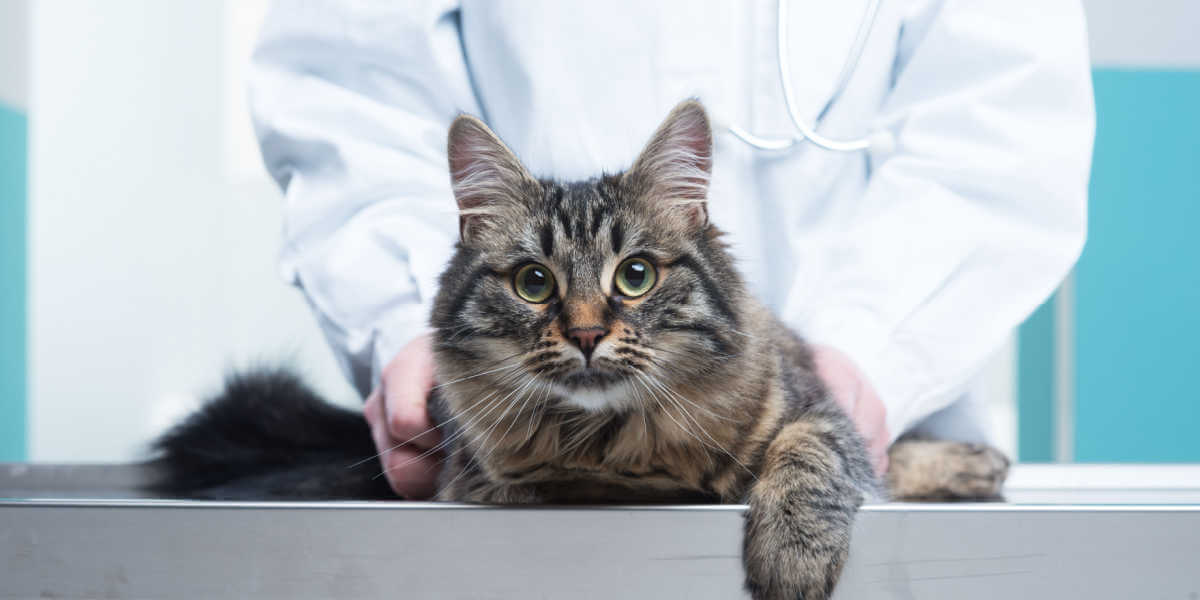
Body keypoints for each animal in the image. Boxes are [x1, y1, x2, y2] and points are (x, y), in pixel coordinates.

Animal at [154, 99, 1008, 600]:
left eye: (635, 275)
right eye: (534, 283)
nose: (590, 332)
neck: (621, 439)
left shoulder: (811, 401)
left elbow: (815, 453)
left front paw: (793, 551)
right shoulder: (511, 478)